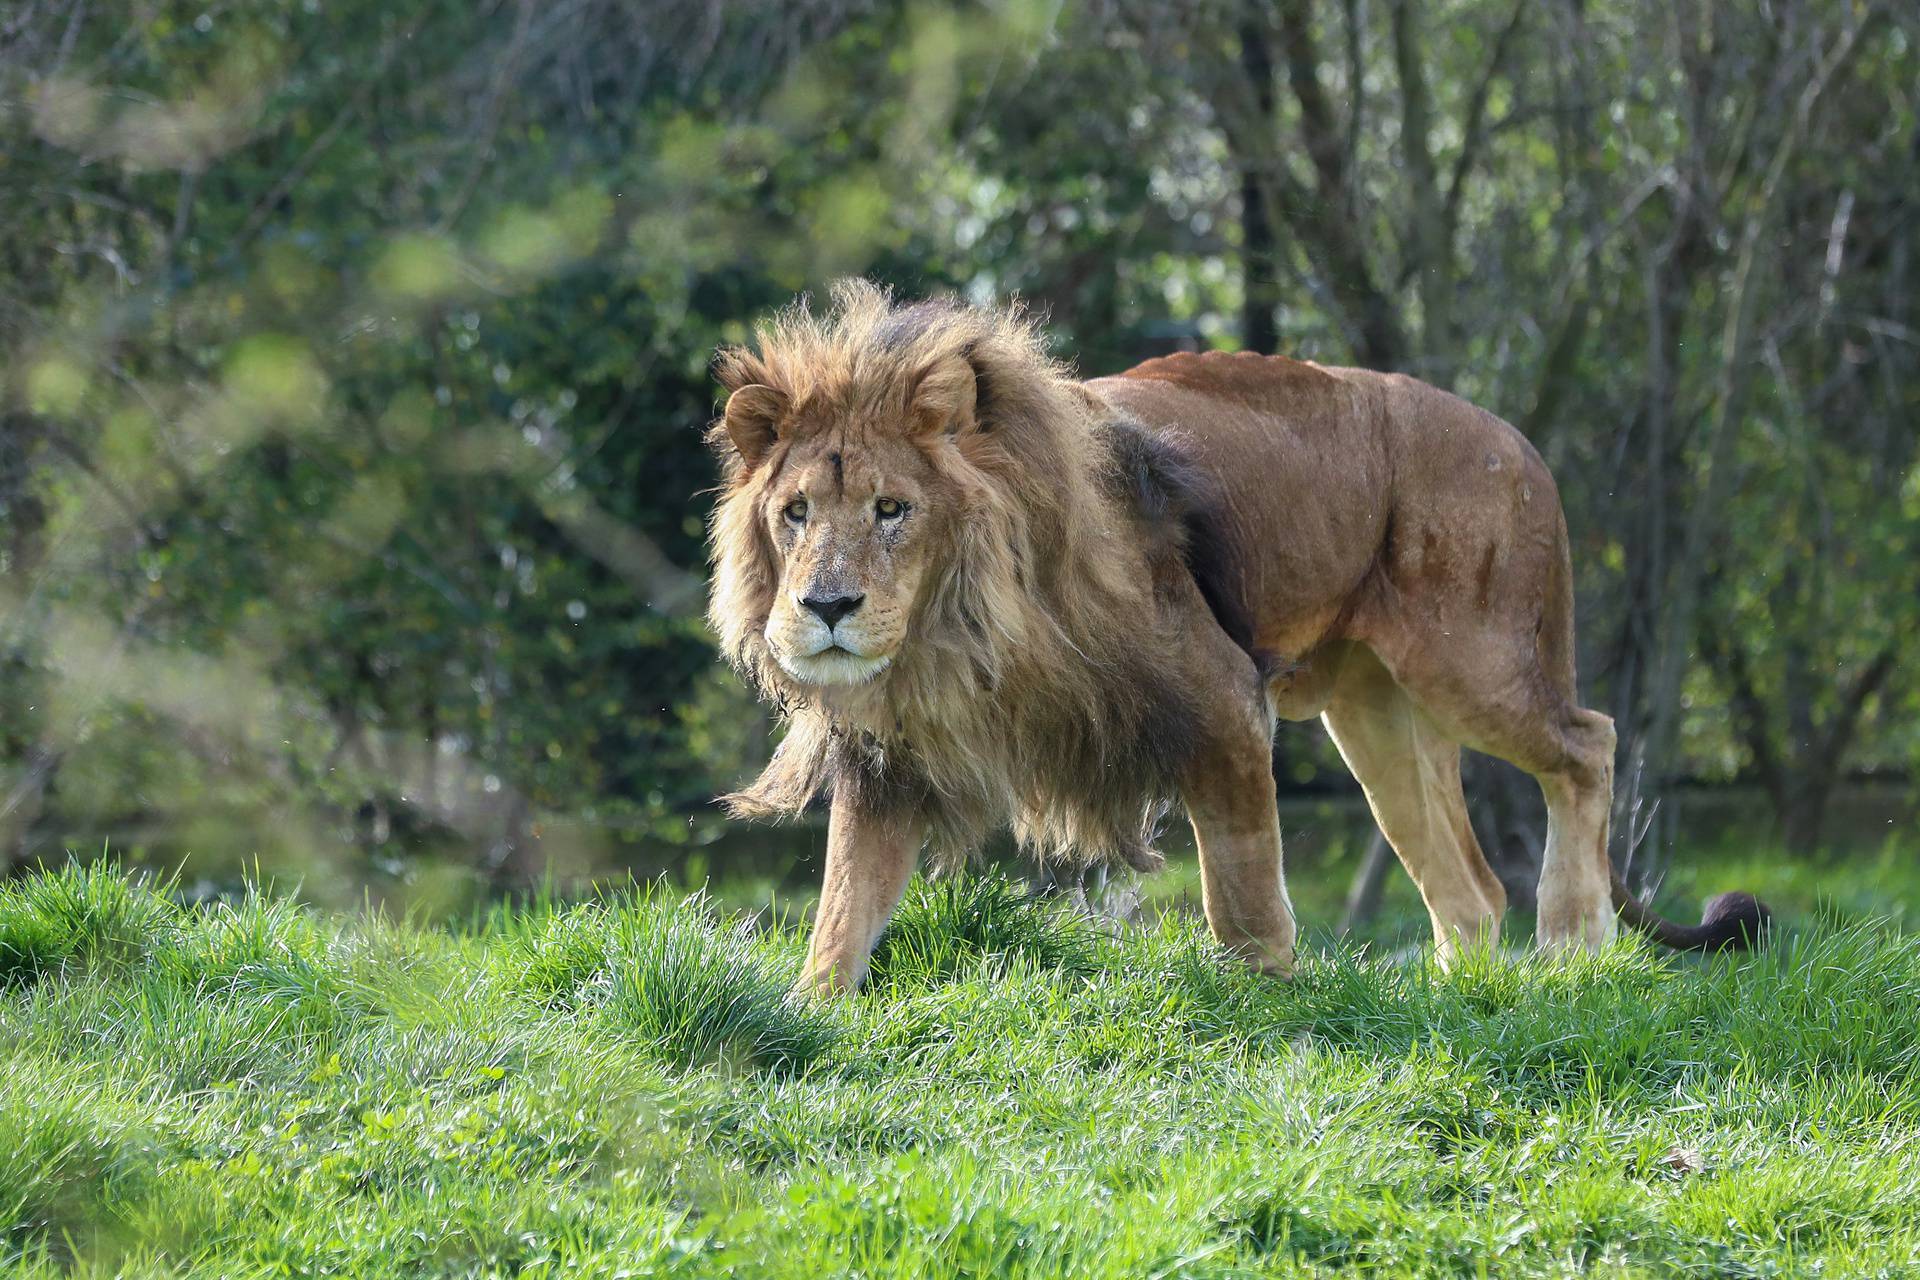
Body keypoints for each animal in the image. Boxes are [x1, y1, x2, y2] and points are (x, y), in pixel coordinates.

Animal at [706, 285, 1766, 997]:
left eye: (892, 509)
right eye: (797, 513)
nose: (828, 607)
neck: (957, 634)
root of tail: (1519, 439)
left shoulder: (1219, 695)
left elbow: (1244, 879)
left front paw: (1265, 993)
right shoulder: (888, 760)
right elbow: (844, 904)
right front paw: (812, 1009)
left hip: (1476, 661)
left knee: (1588, 743)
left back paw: (1570, 946)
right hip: (1375, 716)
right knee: (1469, 889)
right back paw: (1463, 995)